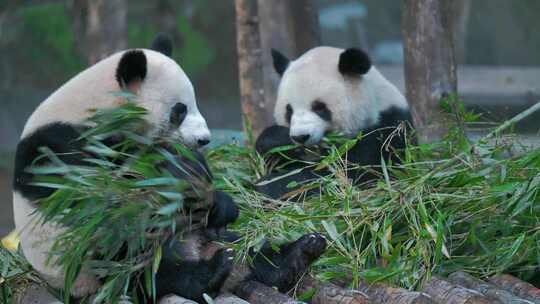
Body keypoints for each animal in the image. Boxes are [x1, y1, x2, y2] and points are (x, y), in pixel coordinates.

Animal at [255, 47, 412, 200]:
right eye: (289, 110)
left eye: (319, 107)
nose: (301, 137)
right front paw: (278, 142)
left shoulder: (386, 133)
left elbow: (348, 174)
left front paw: (268, 185)